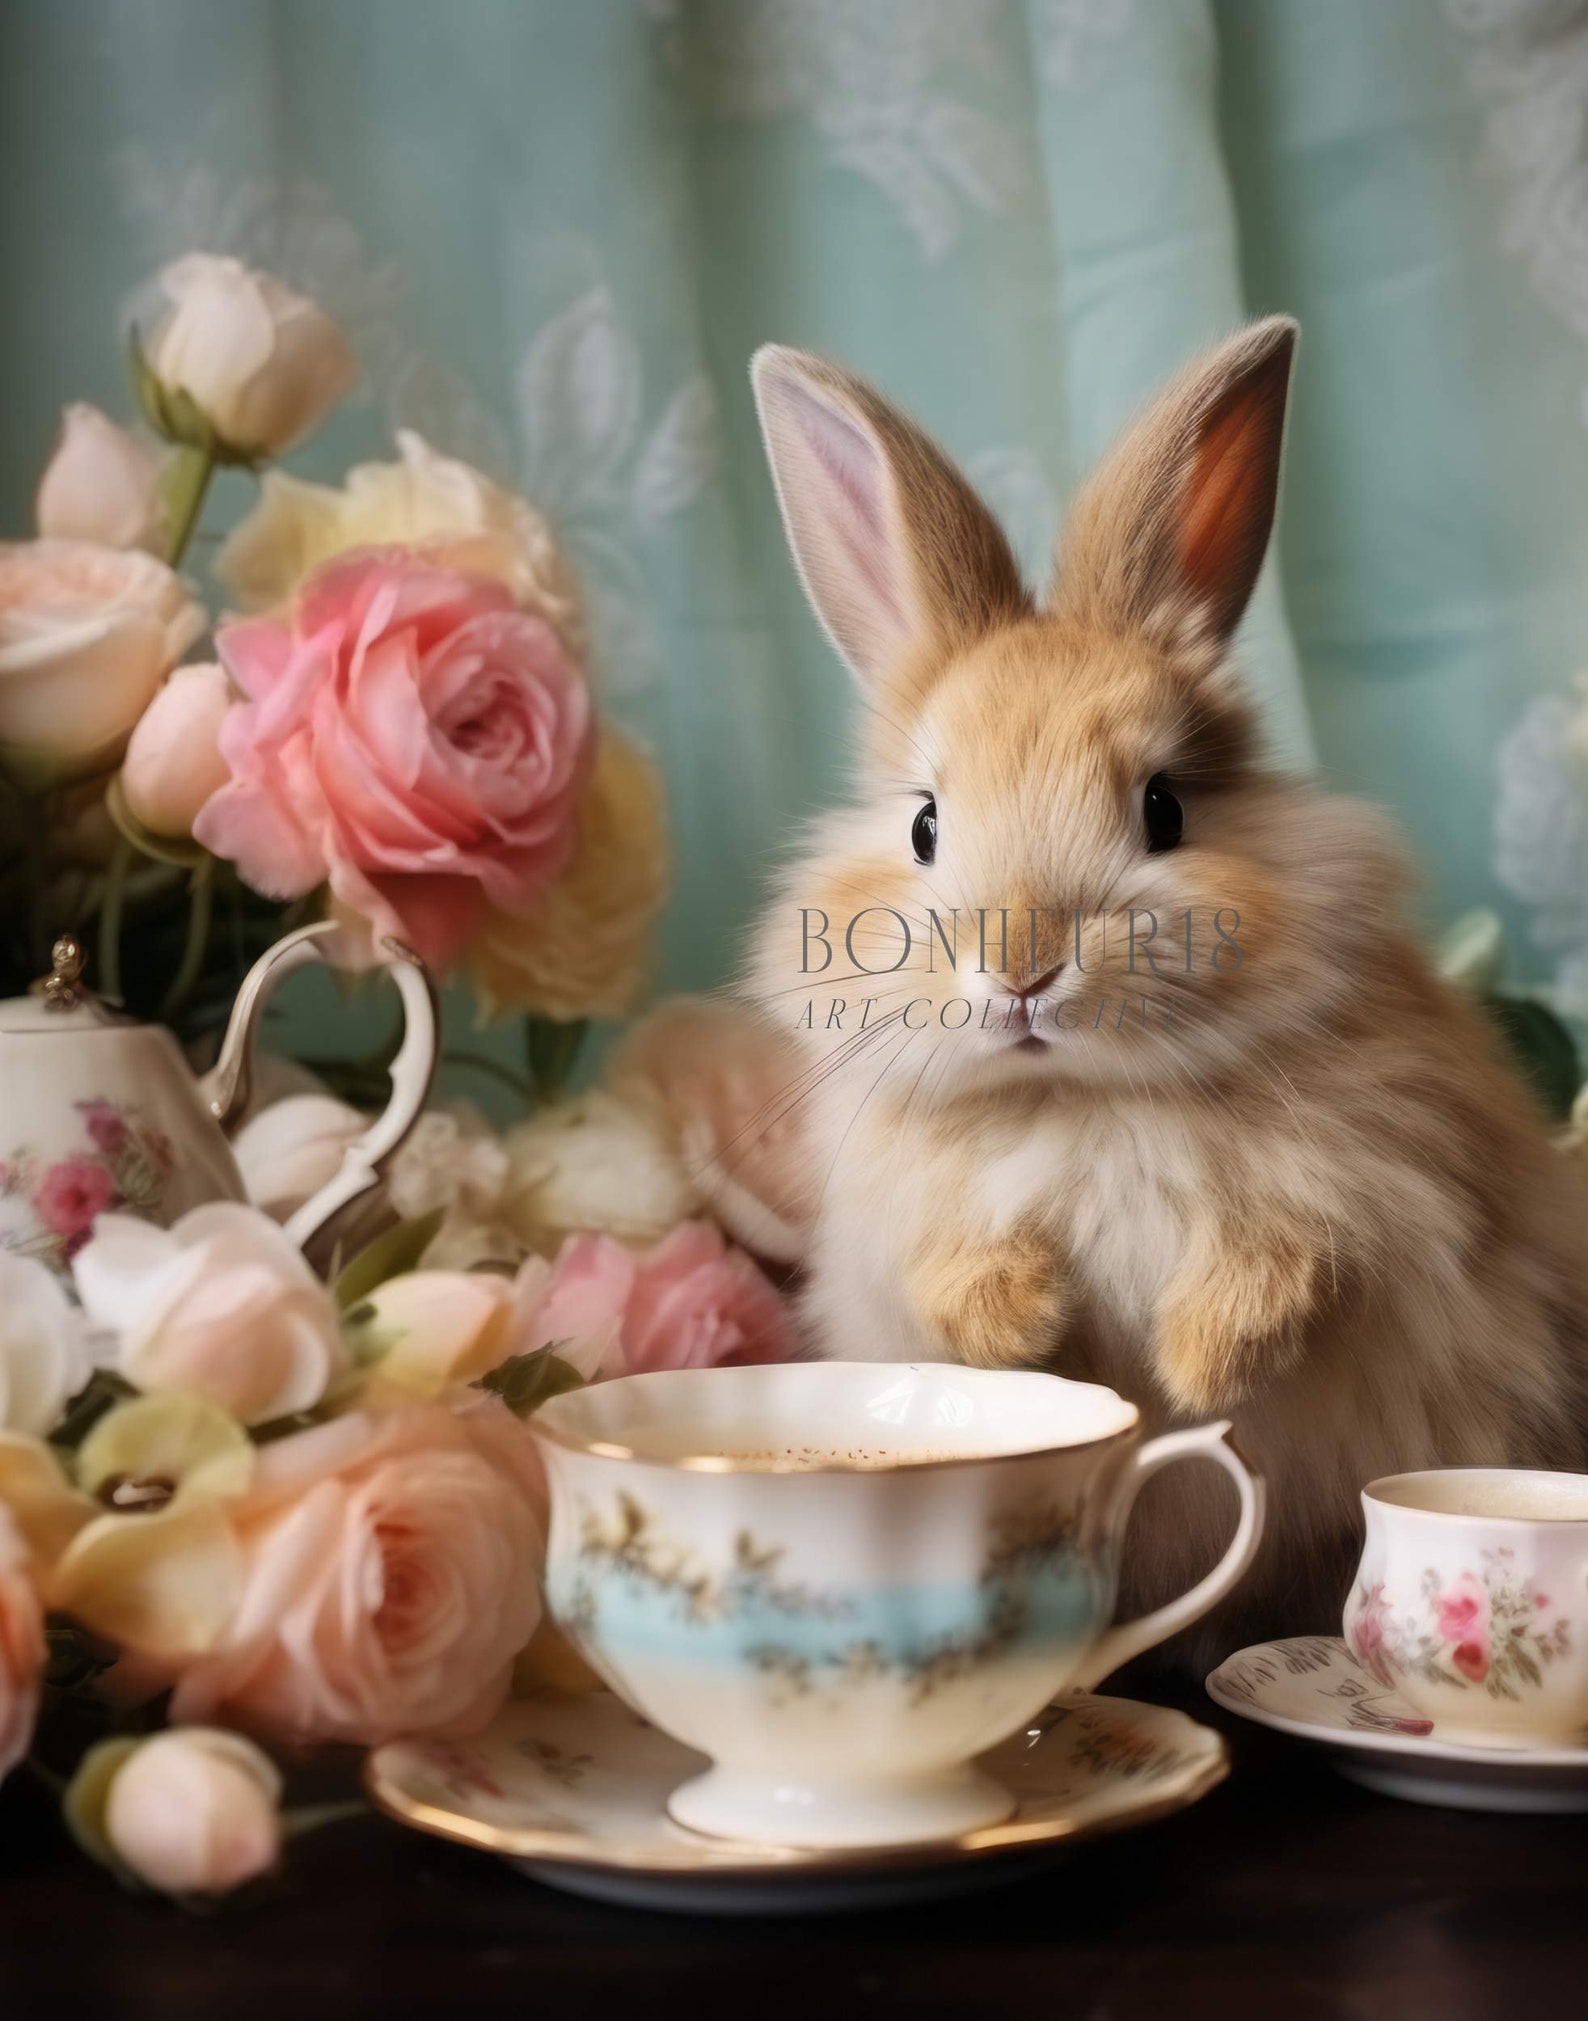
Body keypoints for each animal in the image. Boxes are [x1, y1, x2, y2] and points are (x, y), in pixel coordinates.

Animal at [740, 316, 1588, 1651]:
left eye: (1165, 808)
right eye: (925, 824)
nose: (1022, 968)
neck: (1084, 1099)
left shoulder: (1376, 1202)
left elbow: (1288, 1268)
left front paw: (1197, 1369)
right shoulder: (900, 1229)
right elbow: (952, 1279)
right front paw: (1033, 1323)